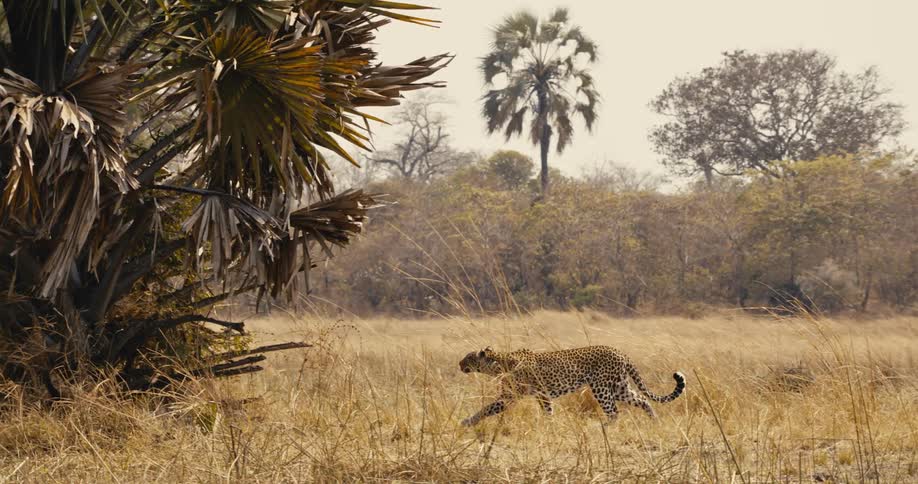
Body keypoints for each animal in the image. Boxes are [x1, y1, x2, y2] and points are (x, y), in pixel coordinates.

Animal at [458, 346, 685, 426]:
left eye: (468, 357)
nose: (459, 364)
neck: (498, 364)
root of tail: (621, 352)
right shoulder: (538, 395)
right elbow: (548, 411)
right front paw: (550, 427)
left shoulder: (512, 397)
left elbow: (487, 408)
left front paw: (468, 421)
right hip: (619, 387)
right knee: (643, 400)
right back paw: (655, 422)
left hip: (601, 387)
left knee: (614, 411)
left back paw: (602, 427)